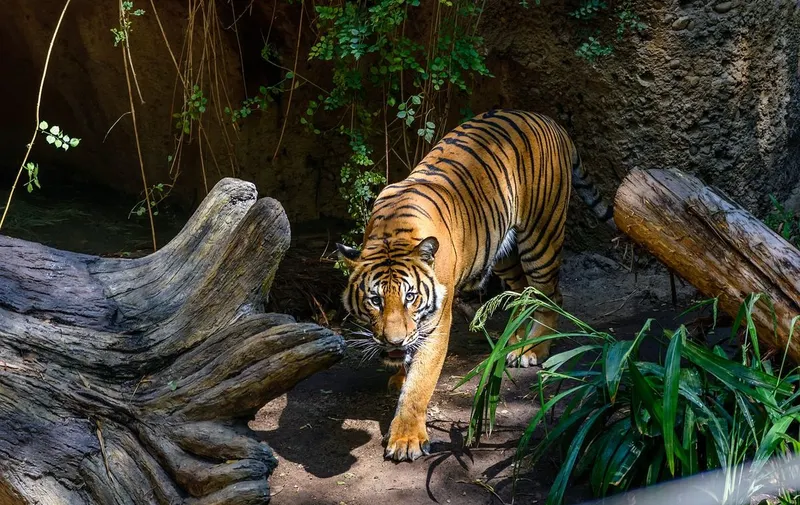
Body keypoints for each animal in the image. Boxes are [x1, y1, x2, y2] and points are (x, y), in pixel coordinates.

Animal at [336, 109, 616, 462]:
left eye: (411, 297)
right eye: (375, 301)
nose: (394, 340)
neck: (392, 234)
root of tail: (547, 119)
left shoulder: (436, 322)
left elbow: (420, 382)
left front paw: (406, 439)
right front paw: (399, 373)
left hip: (541, 235)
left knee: (551, 295)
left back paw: (533, 350)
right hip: (502, 250)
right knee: (524, 294)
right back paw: (517, 342)